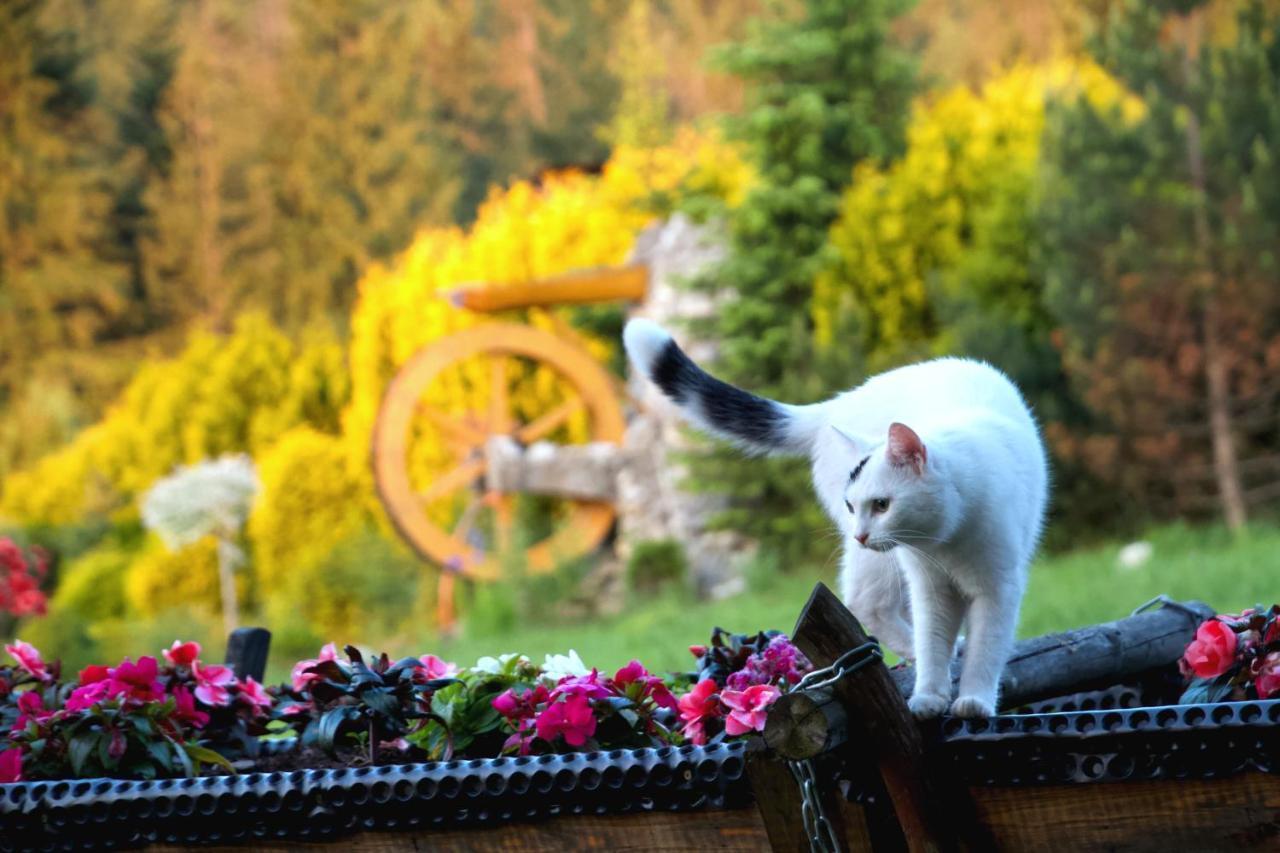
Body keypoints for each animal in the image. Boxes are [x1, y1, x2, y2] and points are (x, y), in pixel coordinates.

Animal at [622, 318, 1049, 717]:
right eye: (851, 505)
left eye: (882, 505)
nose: (861, 533)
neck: (945, 541)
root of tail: (837, 403)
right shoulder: (929, 586)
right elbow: (932, 641)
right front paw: (930, 695)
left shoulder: (998, 586)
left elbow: (987, 647)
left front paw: (974, 699)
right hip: (880, 561)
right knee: (869, 604)